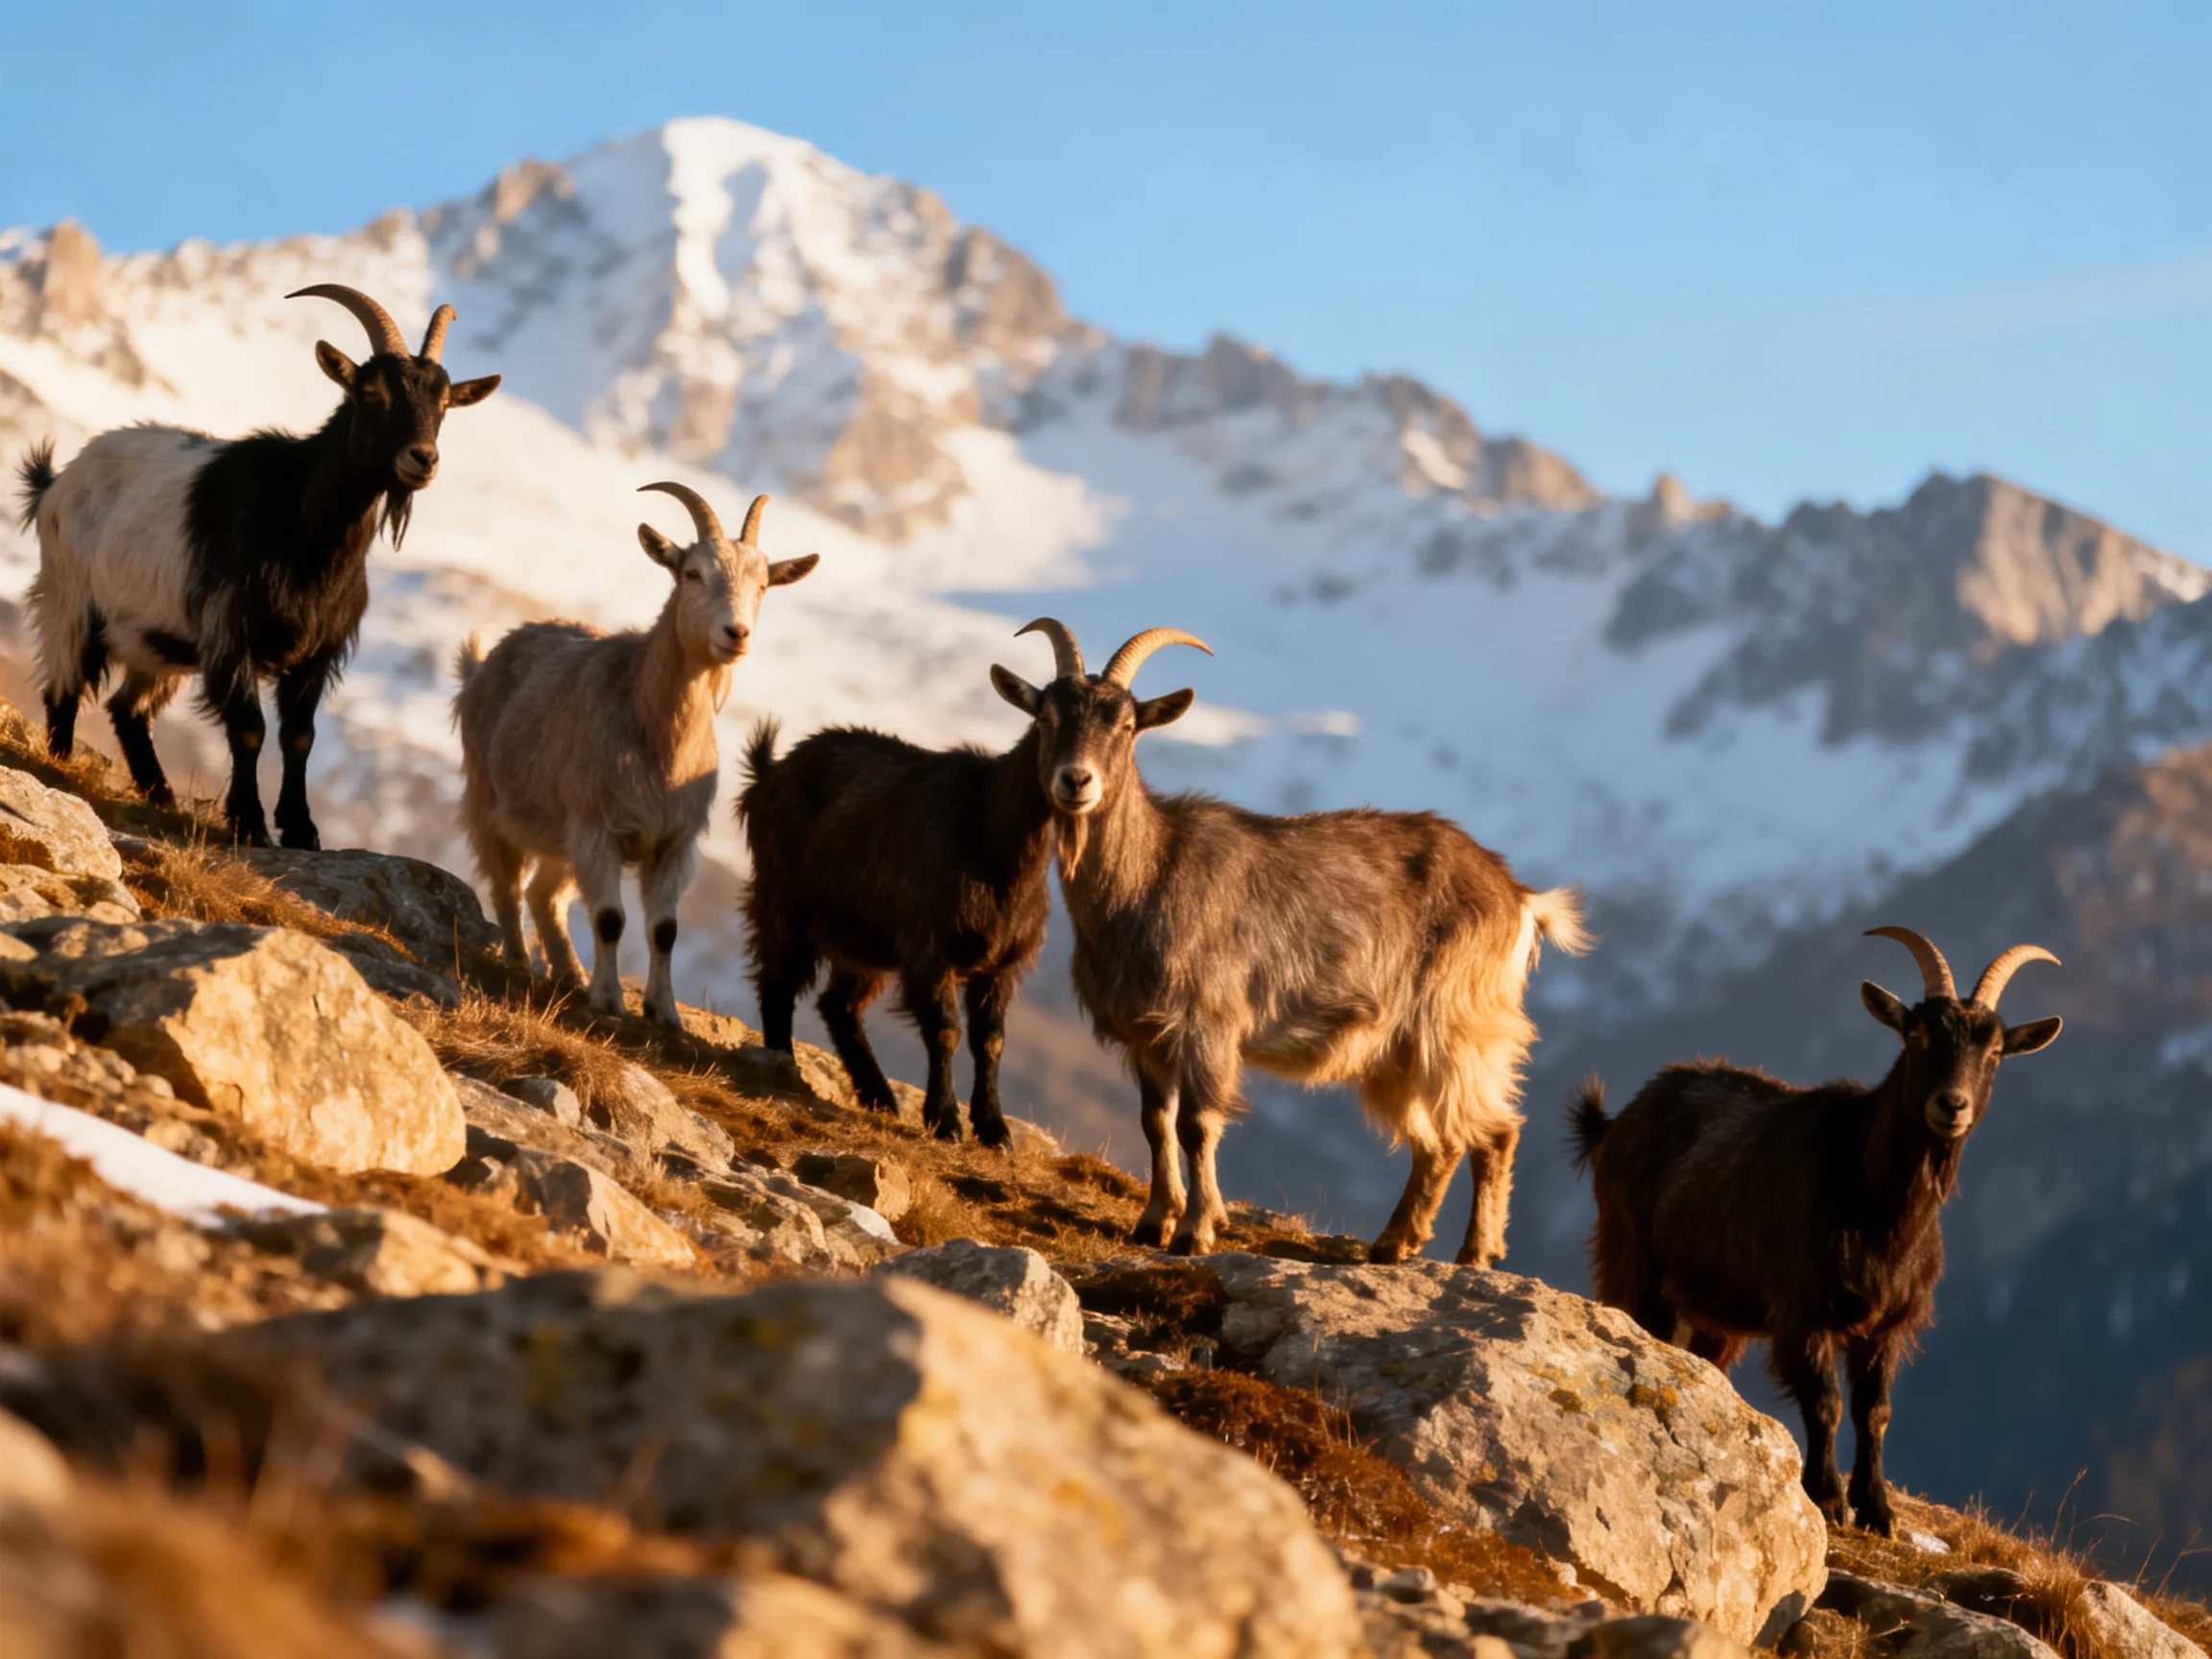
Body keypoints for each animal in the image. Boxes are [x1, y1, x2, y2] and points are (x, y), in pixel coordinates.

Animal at [15, 285, 499, 847]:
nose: (422, 459)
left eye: (443, 403)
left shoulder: (318, 651)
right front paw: (249, 822)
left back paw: (161, 795)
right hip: (70, 600)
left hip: (157, 641)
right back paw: (60, 765)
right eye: (373, 392)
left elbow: (299, 735)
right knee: (64, 689)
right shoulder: (230, 634)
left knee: (127, 710)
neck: (302, 530)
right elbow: (249, 728)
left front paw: (301, 828)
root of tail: (55, 483)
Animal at [454, 483, 817, 1023]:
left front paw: (662, 1011)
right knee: (508, 885)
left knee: (544, 895)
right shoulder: (598, 829)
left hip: (561, 835)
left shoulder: (674, 841)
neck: (656, 740)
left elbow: (664, 930)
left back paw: (568, 972)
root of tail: (482, 663)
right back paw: (521, 961)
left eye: (763, 585)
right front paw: (609, 1000)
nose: (736, 634)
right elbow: (609, 919)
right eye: (692, 573)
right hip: (490, 802)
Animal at [736, 624, 1086, 1146]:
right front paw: (945, 1121)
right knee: (778, 984)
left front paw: (994, 1130)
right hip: (783, 901)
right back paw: (784, 1070)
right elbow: (945, 1030)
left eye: (1124, 723)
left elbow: (992, 1039)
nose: (1076, 781)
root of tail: (769, 773)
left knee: (838, 1004)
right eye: (1045, 716)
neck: (992, 838)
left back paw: (879, 1095)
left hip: (862, 942)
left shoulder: (1002, 965)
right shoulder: (929, 947)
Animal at [1004, 618, 1589, 1261]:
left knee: (1494, 1130)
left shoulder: (1207, 1024)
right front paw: (1153, 1221)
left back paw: (1475, 1251)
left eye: (1128, 725)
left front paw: (1195, 1231)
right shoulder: (1145, 1036)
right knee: (1438, 1141)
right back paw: (1394, 1243)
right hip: (1398, 1051)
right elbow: (1154, 1122)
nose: (1076, 781)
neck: (1148, 875)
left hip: (1458, 1025)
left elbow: (1196, 1124)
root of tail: (1520, 897)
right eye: (1045, 717)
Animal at [1568, 927, 2062, 1535]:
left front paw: (1877, 1510)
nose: (1952, 1105)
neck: (1878, 1209)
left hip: (1717, 1308)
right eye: (1917, 1035)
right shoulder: (1802, 1311)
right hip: (1633, 1259)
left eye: (1994, 1053)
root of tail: (1614, 1122)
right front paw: (1826, 1500)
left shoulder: (1887, 1325)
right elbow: (1825, 1402)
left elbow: (1875, 1410)